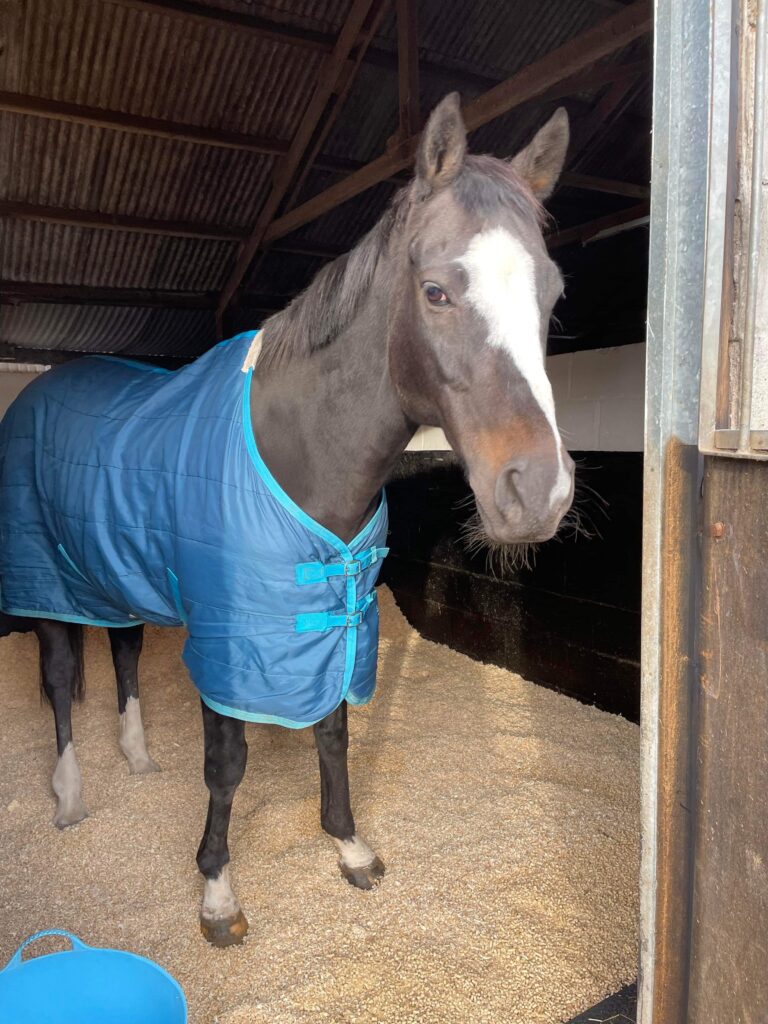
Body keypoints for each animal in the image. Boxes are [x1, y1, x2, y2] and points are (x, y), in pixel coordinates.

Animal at [0, 94, 573, 942]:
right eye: (437, 291)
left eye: (552, 295)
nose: (539, 492)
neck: (298, 451)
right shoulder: (231, 638)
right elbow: (227, 764)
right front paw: (216, 891)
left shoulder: (336, 621)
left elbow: (333, 732)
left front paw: (349, 846)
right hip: (49, 582)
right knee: (63, 677)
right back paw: (70, 799)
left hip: (112, 571)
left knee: (126, 652)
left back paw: (137, 759)